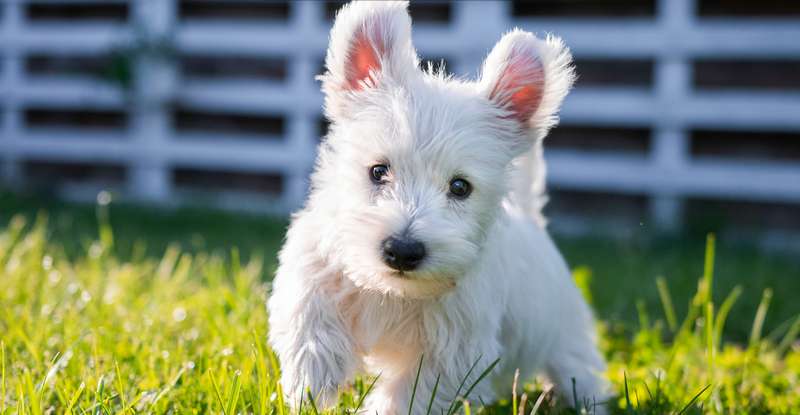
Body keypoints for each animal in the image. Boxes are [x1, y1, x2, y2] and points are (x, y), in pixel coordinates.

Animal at [268, 1, 608, 414]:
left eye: (460, 187)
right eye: (378, 171)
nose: (402, 251)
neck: (394, 293)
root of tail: (532, 220)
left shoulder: (451, 356)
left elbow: (409, 397)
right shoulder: (314, 276)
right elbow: (311, 336)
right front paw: (311, 391)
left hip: (566, 338)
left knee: (580, 372)